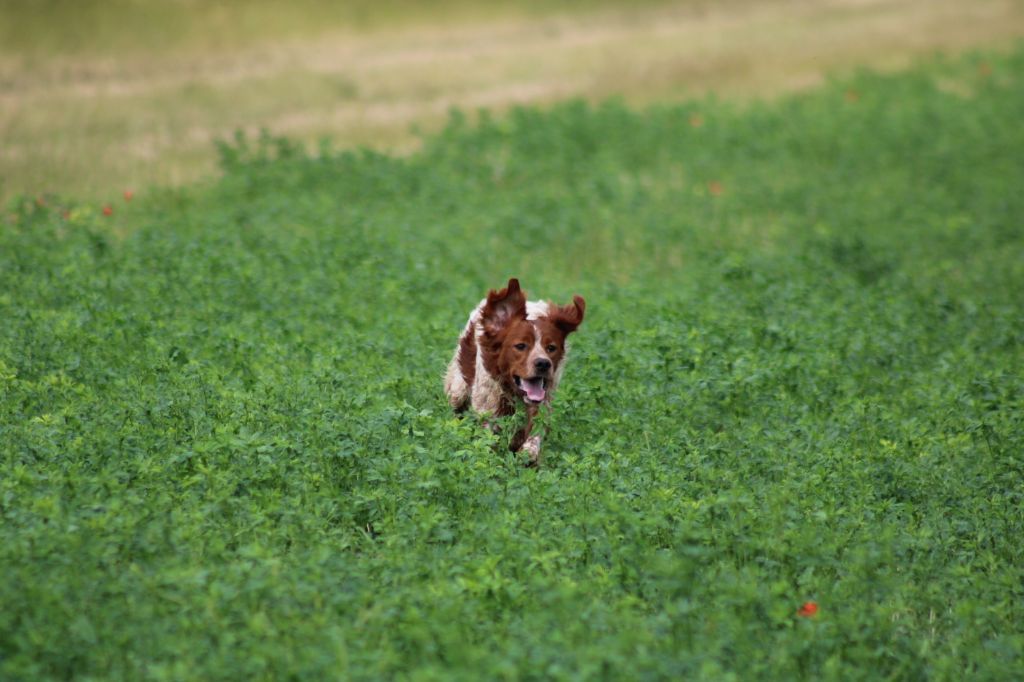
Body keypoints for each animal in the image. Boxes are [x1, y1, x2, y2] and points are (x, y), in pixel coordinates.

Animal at [442, 276, 585, 462]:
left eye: (551, 348)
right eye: (520, 345)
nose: (543, 364)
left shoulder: (543, 400)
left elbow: (535, 431)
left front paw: (528, 454)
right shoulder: (487, 407)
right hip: (458, 389)